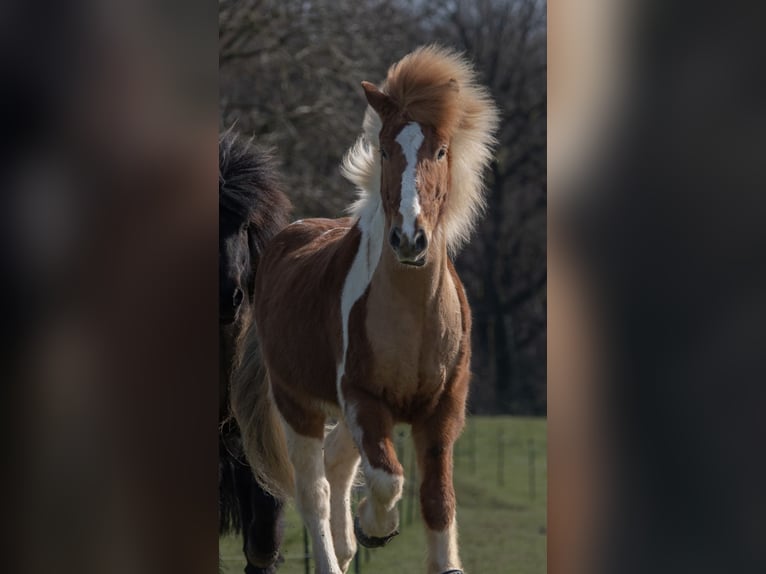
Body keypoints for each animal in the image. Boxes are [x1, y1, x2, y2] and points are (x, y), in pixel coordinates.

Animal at [232, 45, 499, 574]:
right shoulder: (363, 399)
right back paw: (339, 549)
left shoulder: (444, 408)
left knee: (338, 461)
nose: (410, 239)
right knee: (314, 491)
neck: (413, 318)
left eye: (441, 151)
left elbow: (438, 499)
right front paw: (375, 528)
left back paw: (346, 540)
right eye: (385, 149)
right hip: (297, 405)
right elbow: (388, 478)